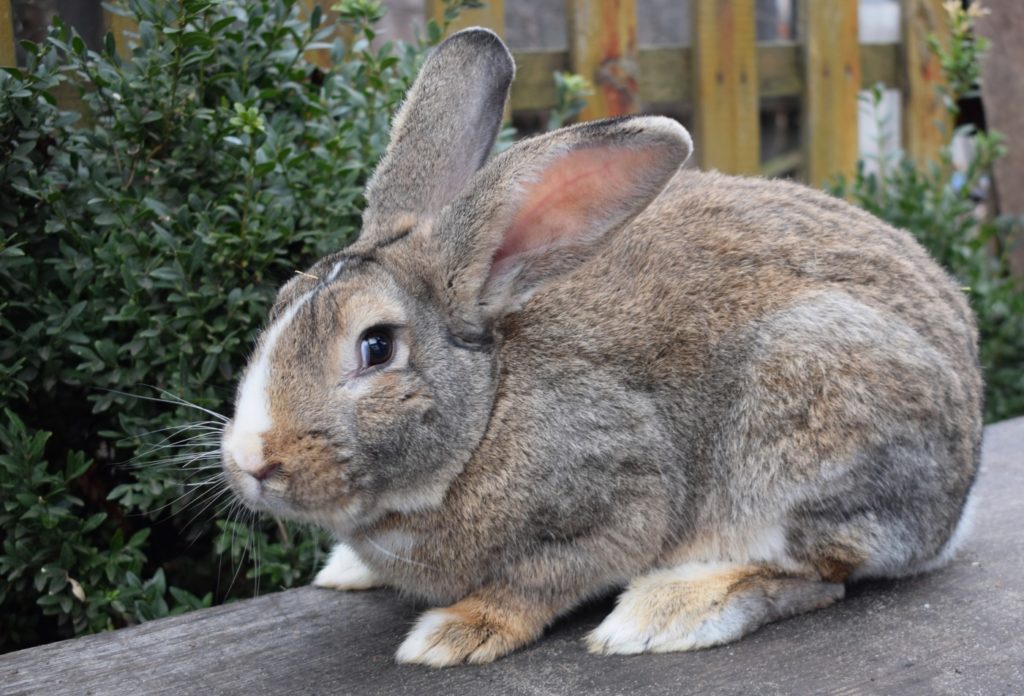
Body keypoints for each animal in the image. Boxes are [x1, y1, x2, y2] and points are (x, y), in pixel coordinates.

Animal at [218, 28, 983, 667]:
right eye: (281, 303)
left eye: (376, 347)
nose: (251, 460)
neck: (489, 409)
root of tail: (955, 506)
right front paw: (351, 570)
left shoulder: (621, 497)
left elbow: (541, 581)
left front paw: (454, 633)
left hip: (803, 425)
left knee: (817, 574)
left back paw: (666, 613)